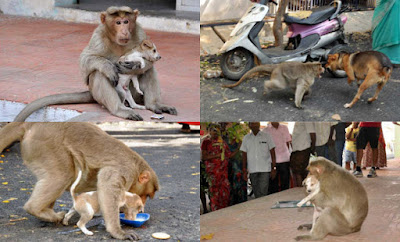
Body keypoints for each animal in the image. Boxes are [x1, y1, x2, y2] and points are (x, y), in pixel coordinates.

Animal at [0, 123, 159, 240]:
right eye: (146, 195)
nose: (143, 207)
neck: (136, 167)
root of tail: (30, 125)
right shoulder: (124, 171)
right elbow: (107, 190)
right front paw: (118, 233)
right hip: (45, 147)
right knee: (62, 176)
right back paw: (39, 211)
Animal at [13, 6, 177, 121]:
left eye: (126, 21)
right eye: (118, 22)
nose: (124, 31)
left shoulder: (140, 32)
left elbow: (147, 64)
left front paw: (138, 65)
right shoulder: (98, 35)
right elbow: (86, 60)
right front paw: (111, 67)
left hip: (134, 95)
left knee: (149, 71)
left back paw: (153, 105)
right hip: (103, 94)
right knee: (99, 73)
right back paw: (119, 109)